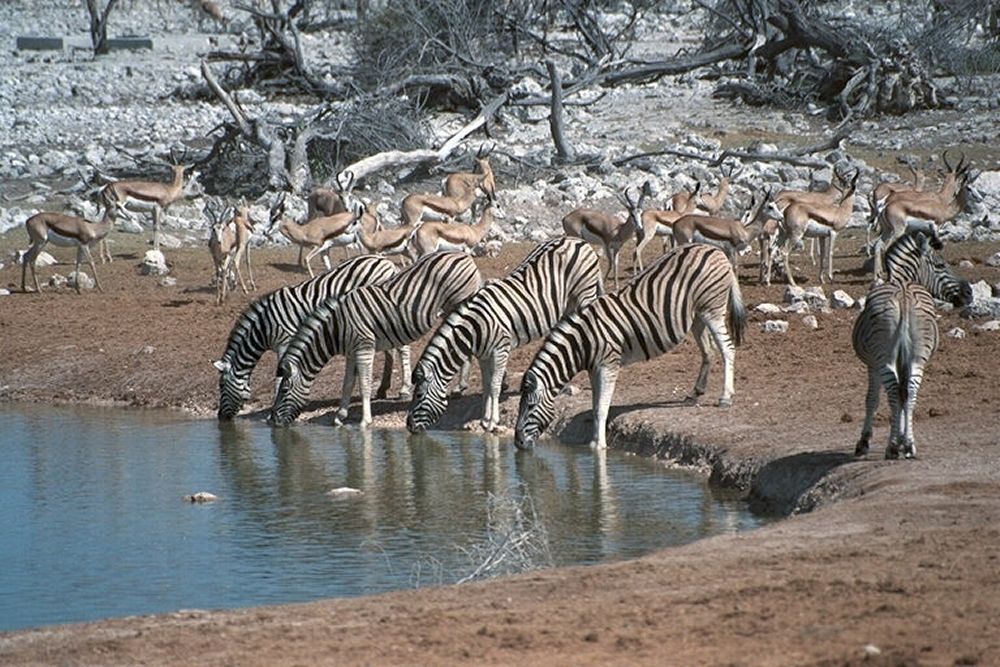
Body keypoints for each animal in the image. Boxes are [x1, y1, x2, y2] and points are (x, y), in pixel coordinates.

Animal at [213, 253, 396, 420]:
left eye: (221, 385)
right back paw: (383, 389)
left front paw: (271, 412)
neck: (264, 326)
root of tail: (384, 260)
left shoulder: (285, 341)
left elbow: (279, 378)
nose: (220, 417)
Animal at [268, 250, 482, 428]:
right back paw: (460, 387)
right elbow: (347, 383)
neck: (336, 326)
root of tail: (465, 255)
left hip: (457, 304)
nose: (275, 421)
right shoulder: (351, 352)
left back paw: (463, 386)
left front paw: (365, 421)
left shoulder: (364, 347)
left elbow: (364, 384)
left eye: (284, 389)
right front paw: (340, 416)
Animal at [404, 237, 600, 436]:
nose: (409, 426)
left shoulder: (501, 350)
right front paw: (484, 420)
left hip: (585, 293)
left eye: (419, 395)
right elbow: (486, 386)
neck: (475, 326)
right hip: (569, 302)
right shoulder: (483, 355)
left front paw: (492, 422)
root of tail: (576, 240)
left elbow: (495, 386)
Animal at [516, 243, 744, 452]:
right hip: (696, 315)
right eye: (520, 405)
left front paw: (600, 446)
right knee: (708, 350)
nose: (518, 443)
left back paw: (725, 396)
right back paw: (695, 393)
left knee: (727, 348)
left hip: (712, 309)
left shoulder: (608, 365)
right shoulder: (594, 369)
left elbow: (602, 408)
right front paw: (594, 441)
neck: (583, 343)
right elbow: (595, 405)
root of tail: (713, 248)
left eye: (530, 406)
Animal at [848, 231, 972, 460]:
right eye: (941, 265)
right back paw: (909, 446)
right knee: (911, 391)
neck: (902, 279)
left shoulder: (873, 364)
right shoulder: (901, 361)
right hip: (917, 356)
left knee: (894, 391)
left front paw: (865, 442)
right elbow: (903, 396)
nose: (969, 293)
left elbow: (873, 399)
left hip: (885, 357)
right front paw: (903, 439)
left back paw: (892, 447)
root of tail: (903, 295)